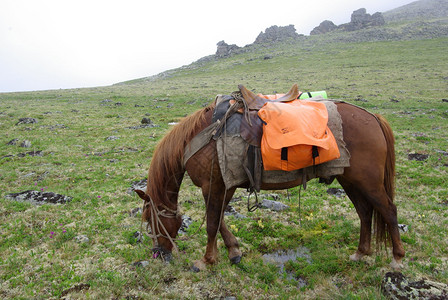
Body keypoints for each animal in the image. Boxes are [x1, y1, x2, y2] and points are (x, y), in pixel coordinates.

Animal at [135, 87, 404, 272]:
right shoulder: (225, 185)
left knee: (388, 210)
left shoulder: (214, 186)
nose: (159, 254)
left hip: (368, 181)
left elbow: (212, 223)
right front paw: (233, 252)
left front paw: (206, 260)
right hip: (350, 180)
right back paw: (361, 253)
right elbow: (220, 220)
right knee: (365, 213)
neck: (200, 137)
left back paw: (397, 259)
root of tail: (373, 117)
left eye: (150, 221)